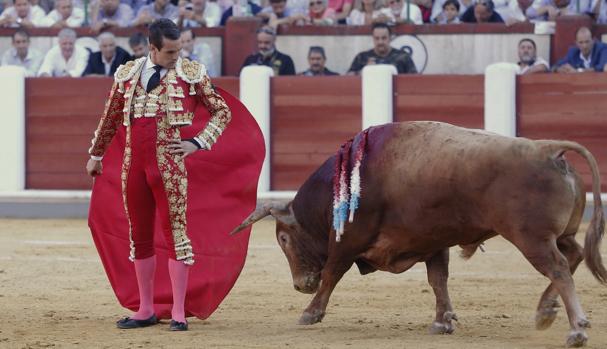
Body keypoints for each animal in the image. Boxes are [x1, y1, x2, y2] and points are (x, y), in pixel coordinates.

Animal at [230, 121, 604, 346]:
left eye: (283, 239)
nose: (299, 285)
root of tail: (548, 149)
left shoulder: (349, 241)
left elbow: (333, 274)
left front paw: (309, 313)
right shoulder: (433, 242)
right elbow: (438, 279)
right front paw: (443, 321)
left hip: (531, 239)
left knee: (558, 268)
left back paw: (576, 328)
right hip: (558, 235)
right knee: (573, 255)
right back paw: (545, 312)